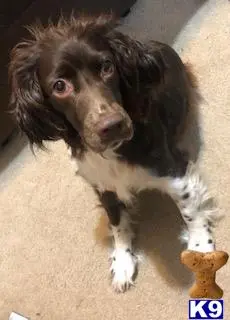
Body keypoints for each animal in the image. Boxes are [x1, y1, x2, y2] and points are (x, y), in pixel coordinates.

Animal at [9, 15, 220, 292]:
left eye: (107, 67)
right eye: (59, 86)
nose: (112, 125)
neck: (113, 151)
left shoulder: (174, 170)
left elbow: (190, 209)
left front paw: (200, 249)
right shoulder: (102, 184)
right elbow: (116, 220)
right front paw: (123, 261)